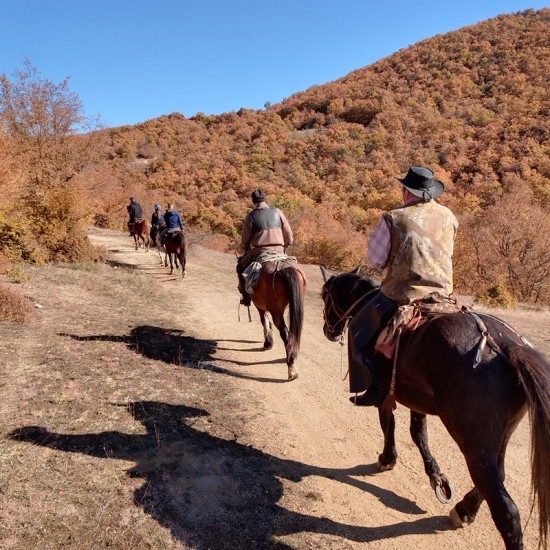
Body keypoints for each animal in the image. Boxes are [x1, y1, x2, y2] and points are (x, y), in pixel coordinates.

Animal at [320, 268, 550, 550]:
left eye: (325, 296)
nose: (328, 330)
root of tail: (507, 346)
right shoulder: (415, 398)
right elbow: (418, 433)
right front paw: (437, 477)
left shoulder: (386, 393)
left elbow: (390, 424)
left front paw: (387, 459)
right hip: (501, 433)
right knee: (498, 475)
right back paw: (464, 509)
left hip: (473, 442)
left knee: (504, 505)